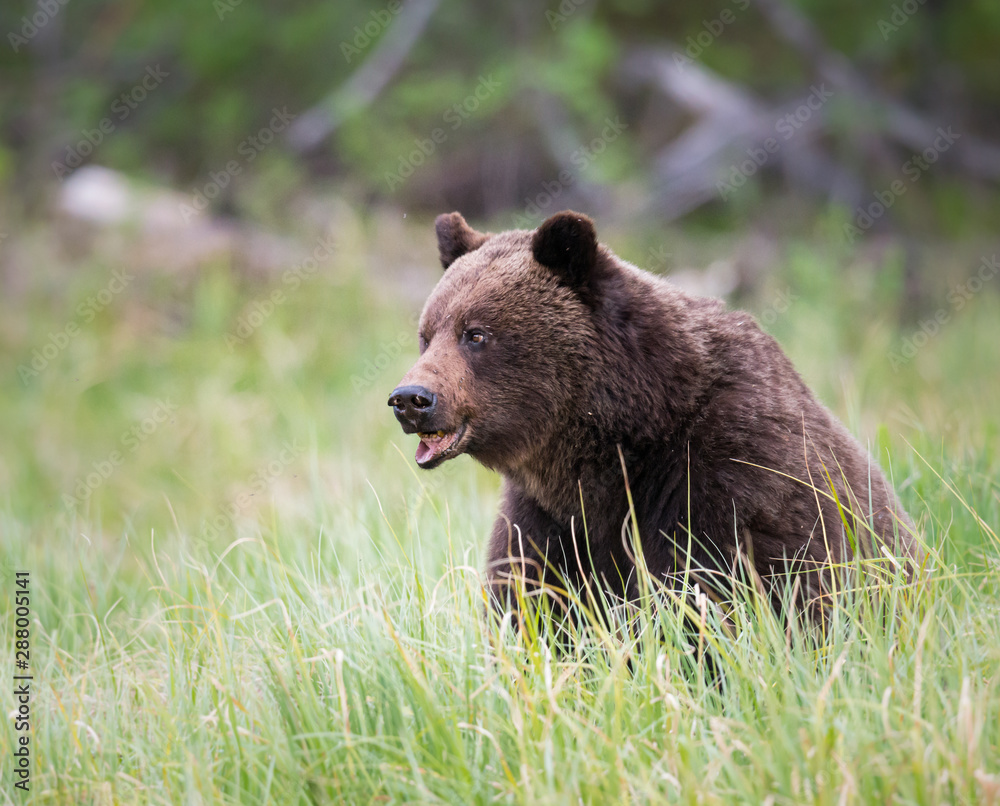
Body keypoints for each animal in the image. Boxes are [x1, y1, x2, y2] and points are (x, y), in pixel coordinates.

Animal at [388, 210, 917, 620]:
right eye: (426, 334)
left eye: (476, 333)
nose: (411, 398)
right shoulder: (548, 519)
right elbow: (534, 602)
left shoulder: (729, 476)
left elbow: (736, 594)